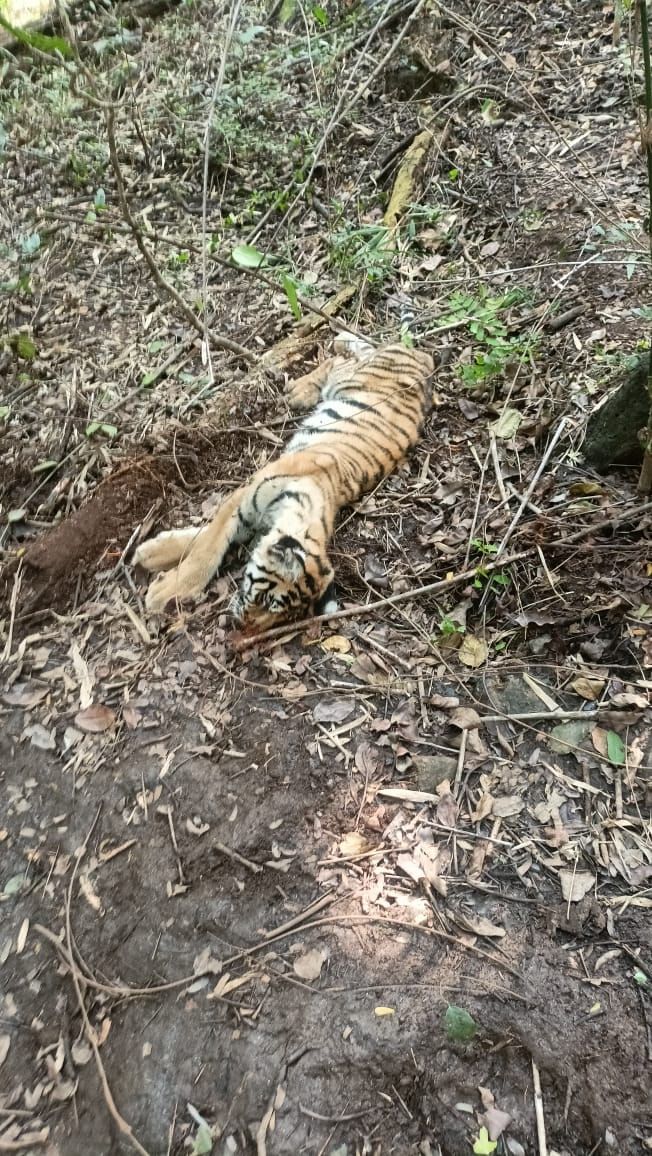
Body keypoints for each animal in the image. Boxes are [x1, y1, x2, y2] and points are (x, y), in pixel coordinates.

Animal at [133, 335, 434, 631]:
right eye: (266, 599)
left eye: (279, 617)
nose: (243, 626)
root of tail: (424, 358)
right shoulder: (243, 498)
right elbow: (206, 547)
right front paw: (164, 586)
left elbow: (204, 537)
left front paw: (152, 555)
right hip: (349, 377)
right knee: (340, 357)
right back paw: (301, 388)